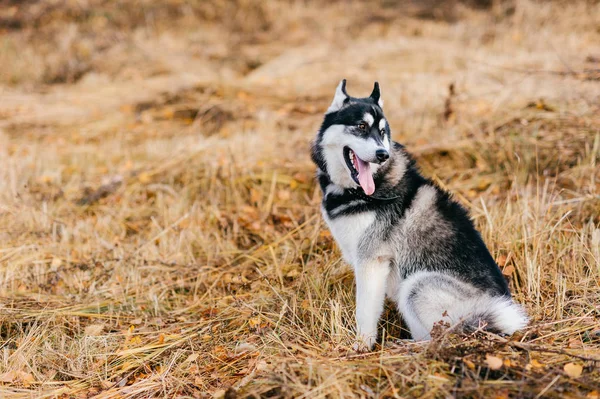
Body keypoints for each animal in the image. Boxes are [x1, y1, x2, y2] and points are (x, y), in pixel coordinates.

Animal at [312, 80, 528, 350]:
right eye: (361, 126)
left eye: (382, 132)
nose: (382, 154)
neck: (360, 190)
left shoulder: (372, 261)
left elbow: (365, 310)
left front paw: (362, 344)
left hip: (417, 284)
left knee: (440, 337)